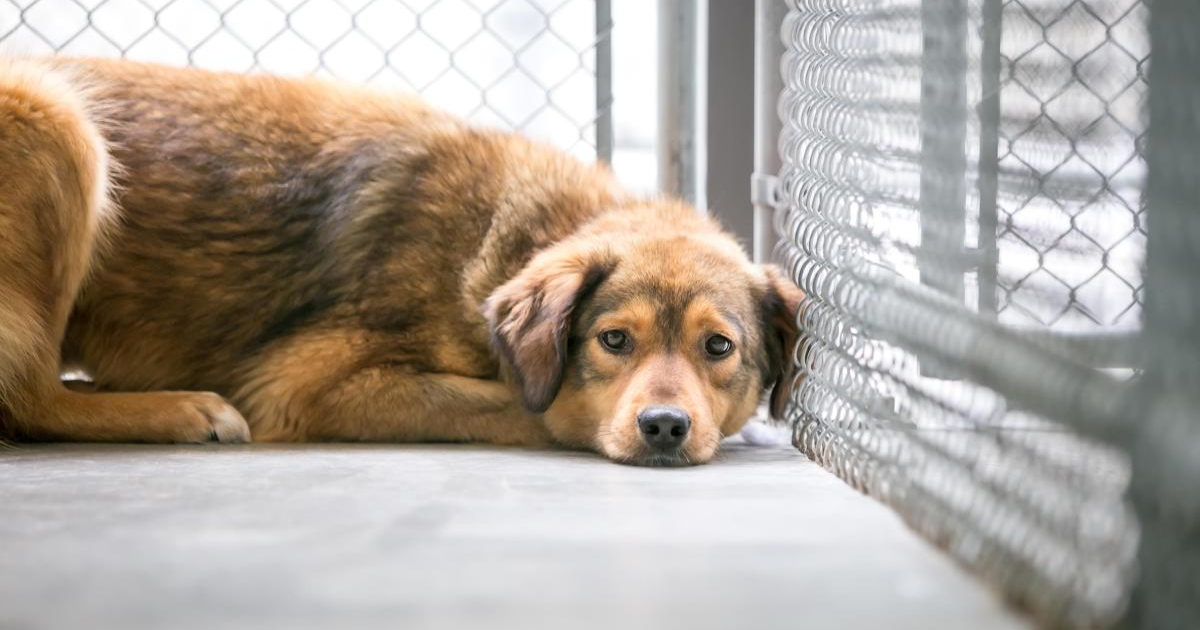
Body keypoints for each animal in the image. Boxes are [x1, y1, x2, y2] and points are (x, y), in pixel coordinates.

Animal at [0, 57, 803, 466]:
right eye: (613, 340)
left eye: (718, 348)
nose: (664, 426)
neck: (510, 235)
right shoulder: (304, 385)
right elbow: (516, 404)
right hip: (55, 119)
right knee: (28, 402)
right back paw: (179, 410)